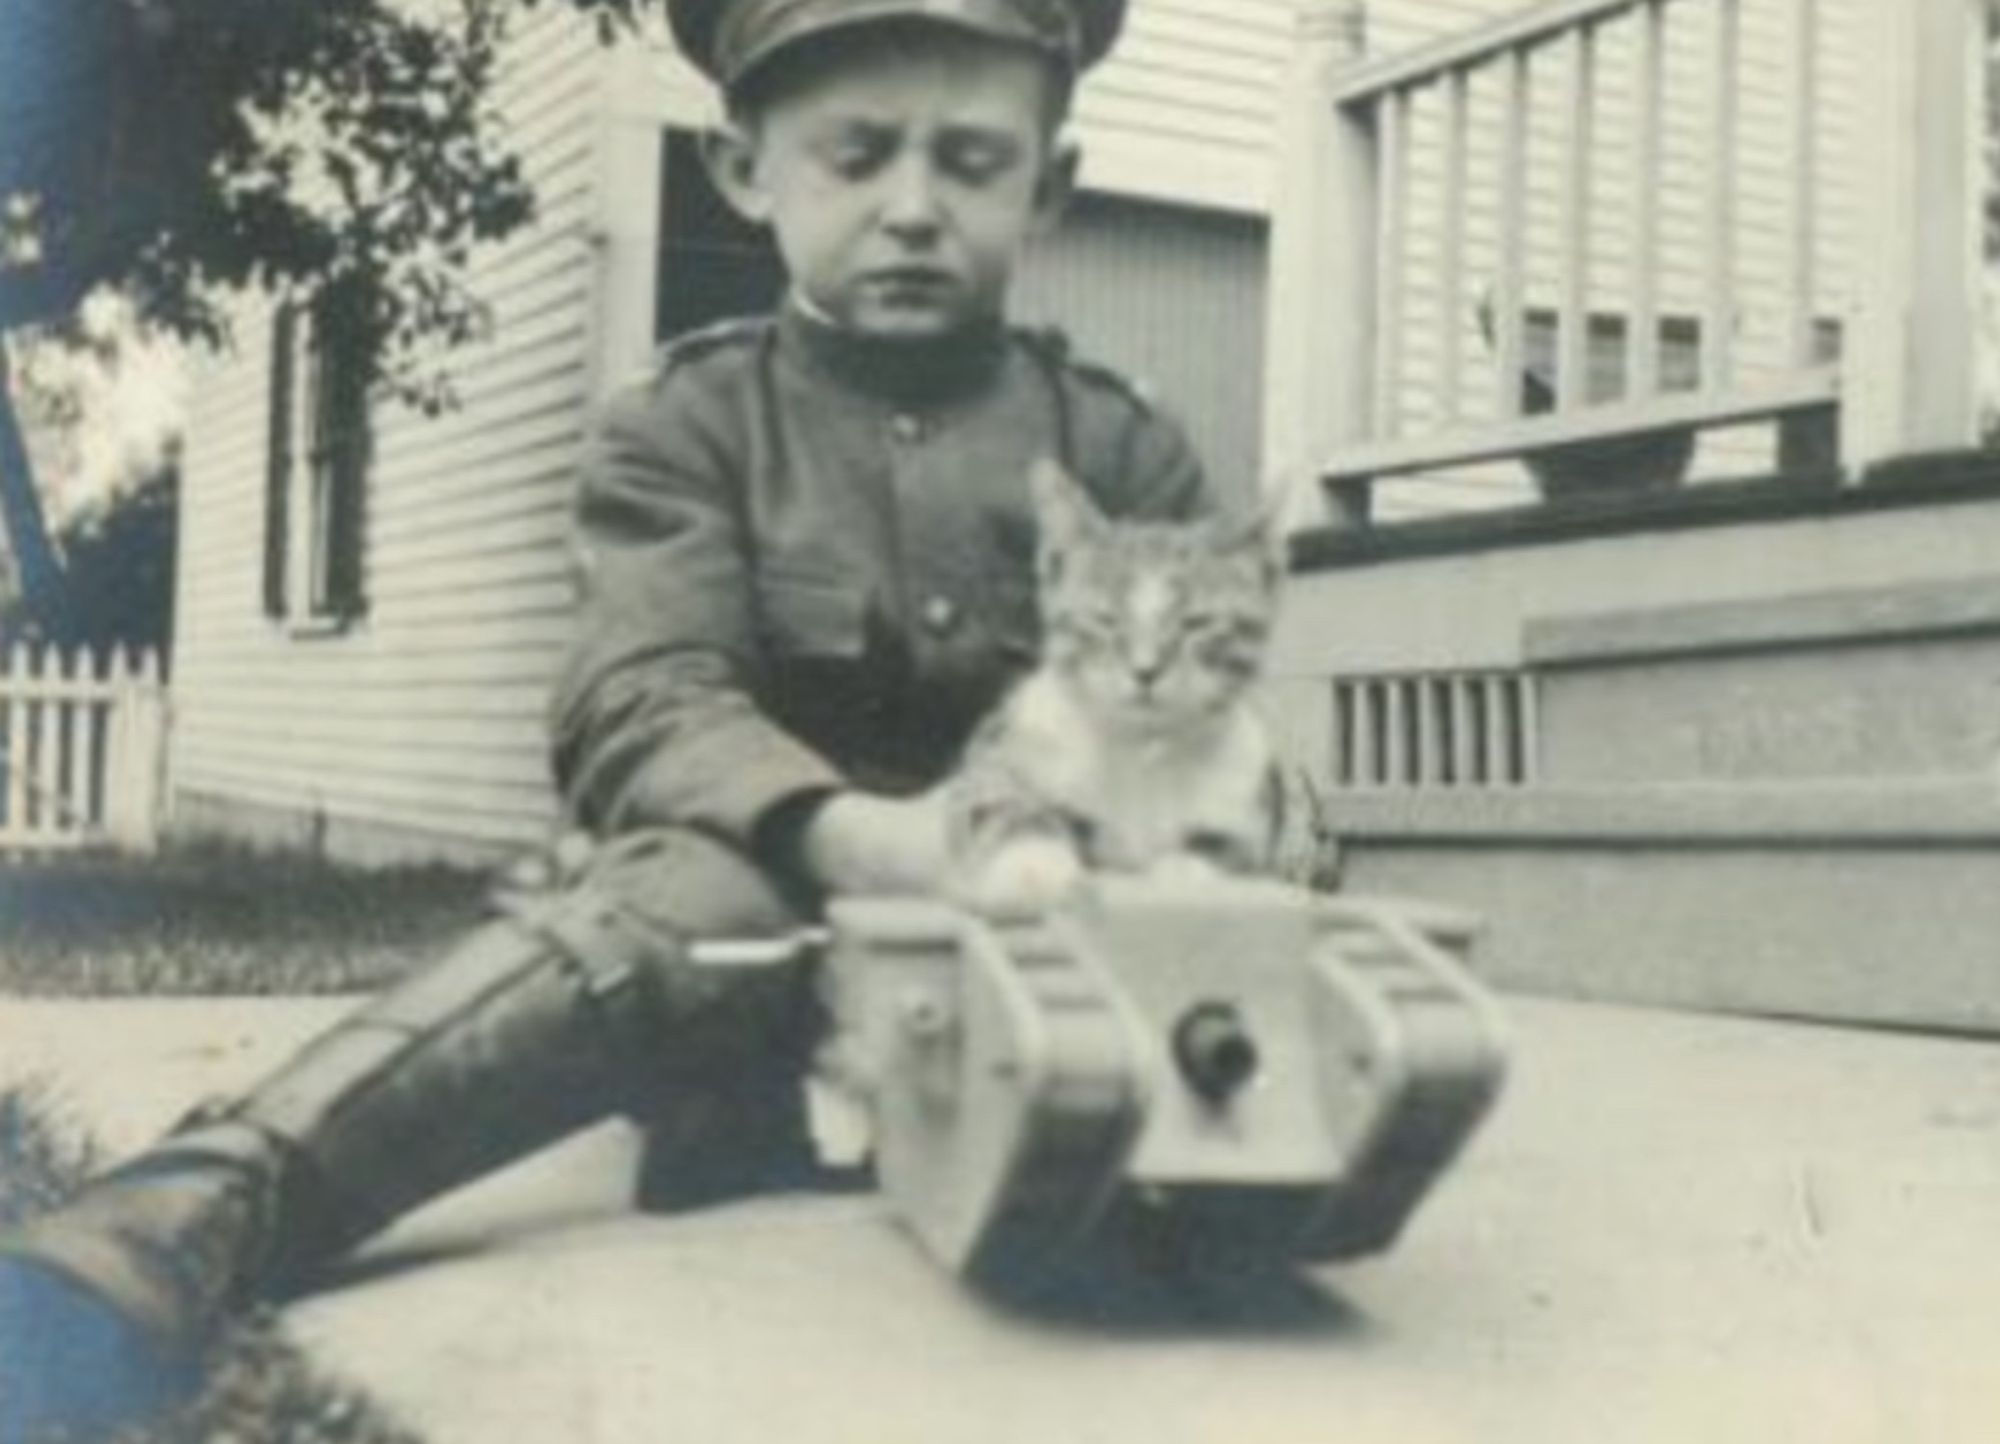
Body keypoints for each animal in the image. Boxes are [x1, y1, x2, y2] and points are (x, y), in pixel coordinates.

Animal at [952, 462, 1312, 912]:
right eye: (1105, 618)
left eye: (1195, 622)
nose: (1145, 670)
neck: (1142, 751)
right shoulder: (1007, 746)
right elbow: (1002, 804)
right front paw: (1031, 870)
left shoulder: (1246, 808)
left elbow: (1218, 854)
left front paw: (1185, 882)